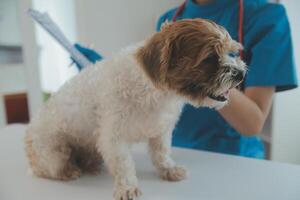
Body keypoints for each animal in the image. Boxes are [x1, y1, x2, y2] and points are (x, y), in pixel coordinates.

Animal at [25, 19, 246, 200]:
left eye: (231, 52)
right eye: (209, 57)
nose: (241, 73)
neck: (157, 92)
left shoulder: (161, 130)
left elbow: (161, 153)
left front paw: (168, 169)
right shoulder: (113, 137)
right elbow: (124, 164)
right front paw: (127, 187)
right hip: (55, 152)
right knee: (49, 169)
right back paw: (69, 170)